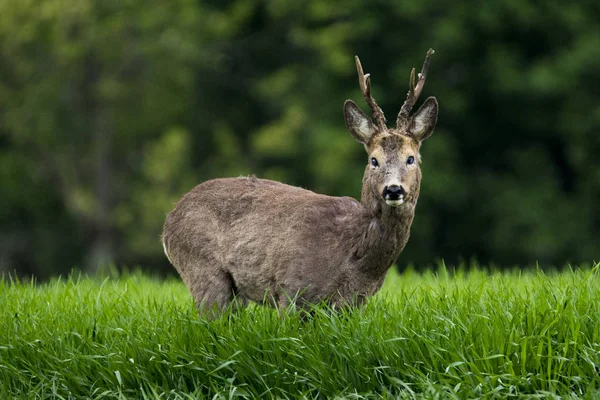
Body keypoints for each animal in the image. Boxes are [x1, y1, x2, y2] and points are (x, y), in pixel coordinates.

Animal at [162, 50, 438, 314]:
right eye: (373, 160)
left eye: (411, 158)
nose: (393, 190)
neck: (354, 256)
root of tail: (169, 220)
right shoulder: (291, 288)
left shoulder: (353, 303)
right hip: (203, 270)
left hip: (234, 293)